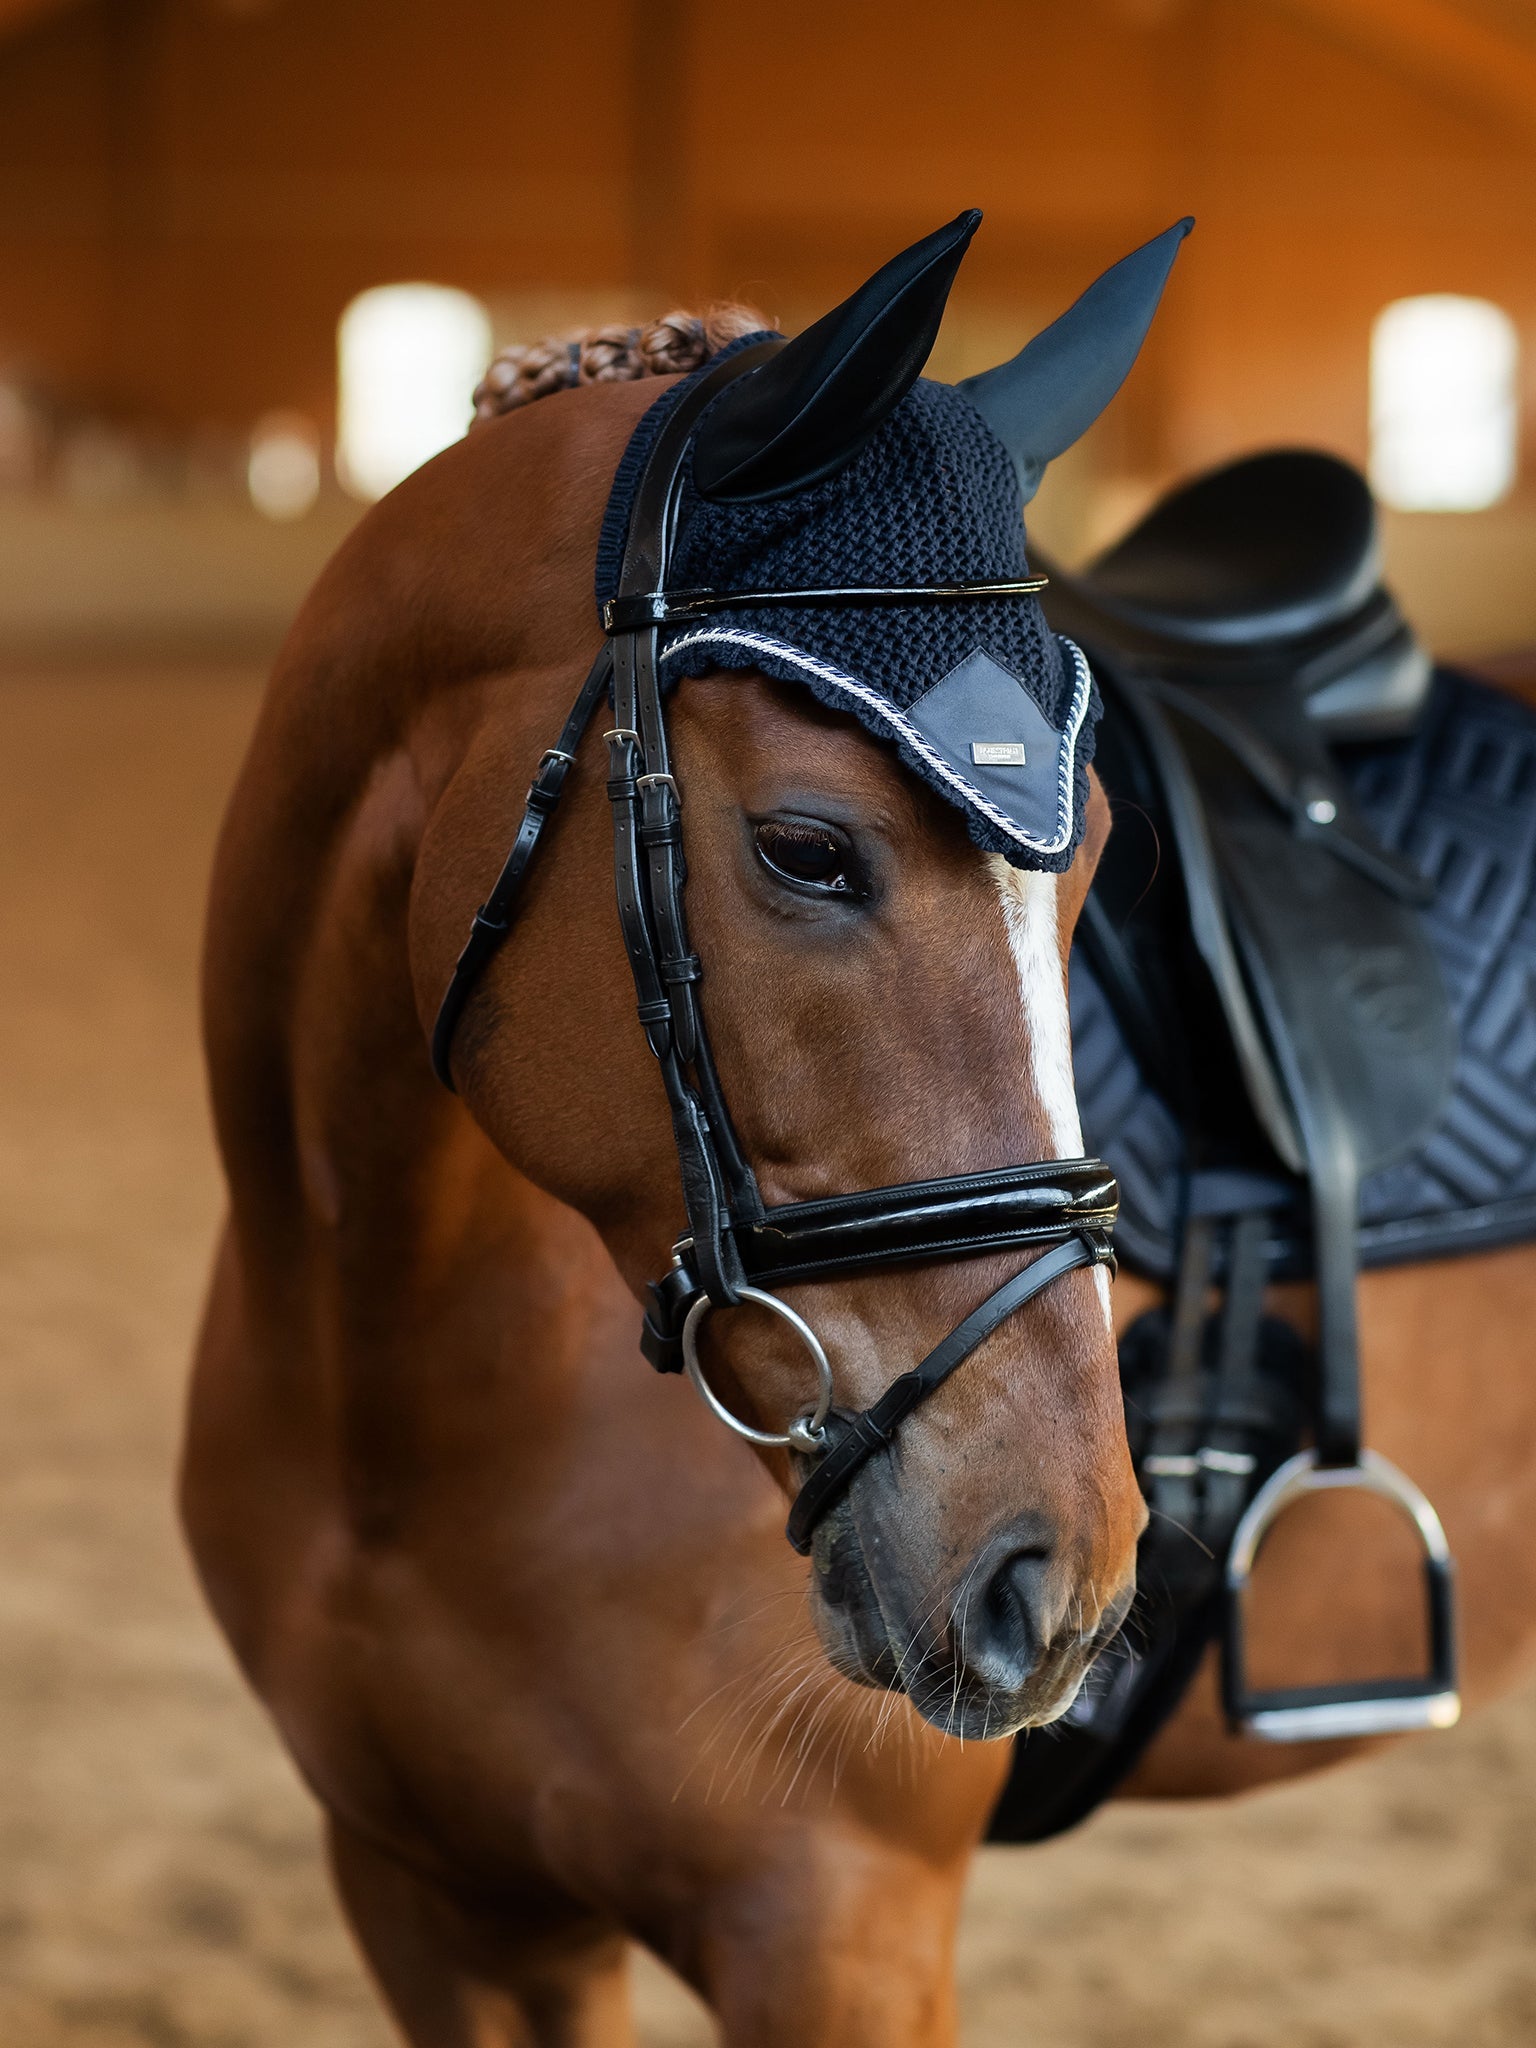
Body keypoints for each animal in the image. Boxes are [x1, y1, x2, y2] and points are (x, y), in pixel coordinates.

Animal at [182, 214, 1536, 2045]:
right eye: (808, 849)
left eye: (1097, 854)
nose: (1061, 1569)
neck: (390, 1377)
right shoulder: (441, 1903)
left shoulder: (841, 1924)